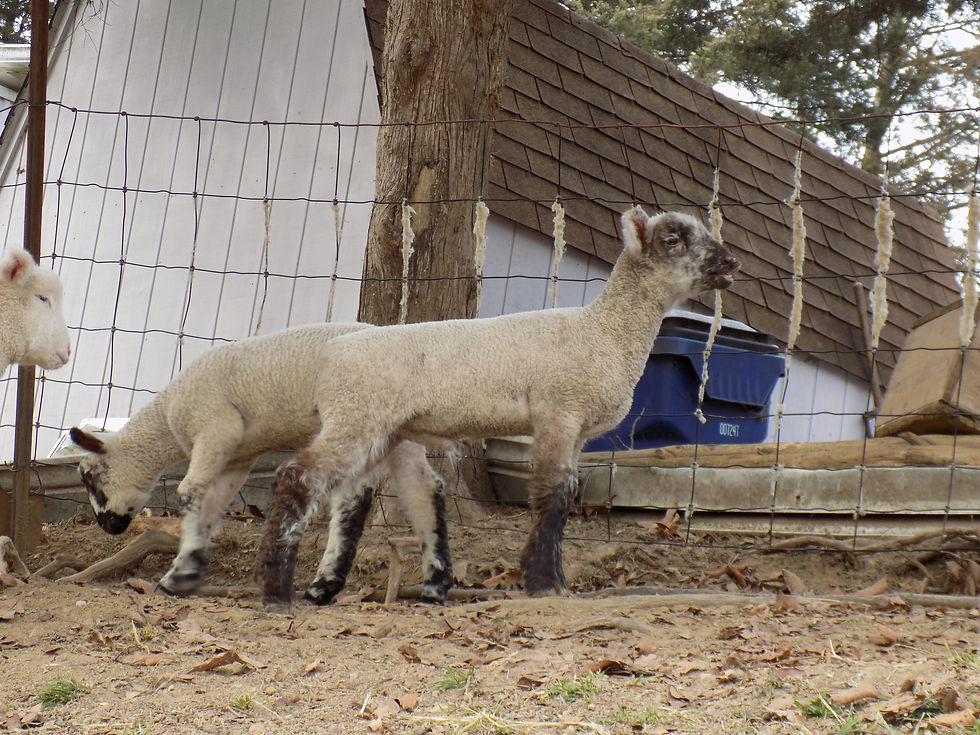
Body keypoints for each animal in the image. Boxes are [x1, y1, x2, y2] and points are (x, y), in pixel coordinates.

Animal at [69, 322, 453, 603]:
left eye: (89, 478)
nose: (107, 527)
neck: (166, 420)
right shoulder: (237, 456)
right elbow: (211, 504)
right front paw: (184, 572)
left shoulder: (216, 428)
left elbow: (190, 492)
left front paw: (180, 576)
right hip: (397, 431)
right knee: (420, 487)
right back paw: (432, 581)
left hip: (359, 419)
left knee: (359, 494)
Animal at [260, 206, 740, 606]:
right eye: (673, 239)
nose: (731, 264)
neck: (602, 332)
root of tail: (332, 353)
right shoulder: (558, 411)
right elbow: (553, 494)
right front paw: (545, 584)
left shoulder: (577, 430)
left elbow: (567, 491)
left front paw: (554, 582)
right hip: (356, 418)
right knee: (297, 476)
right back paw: (276, 590)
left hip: (378, 428)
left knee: (357, 497)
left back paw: (327, 587)